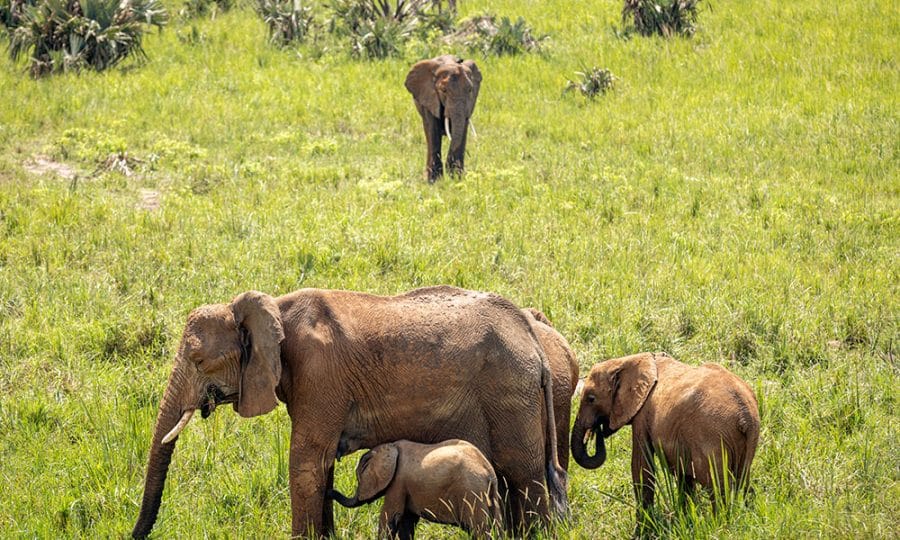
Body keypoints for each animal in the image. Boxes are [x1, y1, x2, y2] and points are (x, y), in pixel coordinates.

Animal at [329, 439, 502, 539]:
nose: (329, 491)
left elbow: (390, 517)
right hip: (492, 497)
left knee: (479, 531)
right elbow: (406, 522)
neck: (389, 447)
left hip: (472, 493)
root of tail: (488, 472)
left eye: (359, 479)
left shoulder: (398, 482)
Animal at [571, 352, 760, 529]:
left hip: (711, 437)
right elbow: (683, 475)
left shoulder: (642, 414)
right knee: (744, 482)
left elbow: (641, 466)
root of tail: (745, 416)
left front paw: (642, 530)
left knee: (718, 488)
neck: (628, 360)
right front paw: (686, 519)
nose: (597, 429)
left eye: (591, 398)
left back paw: (719, 526)